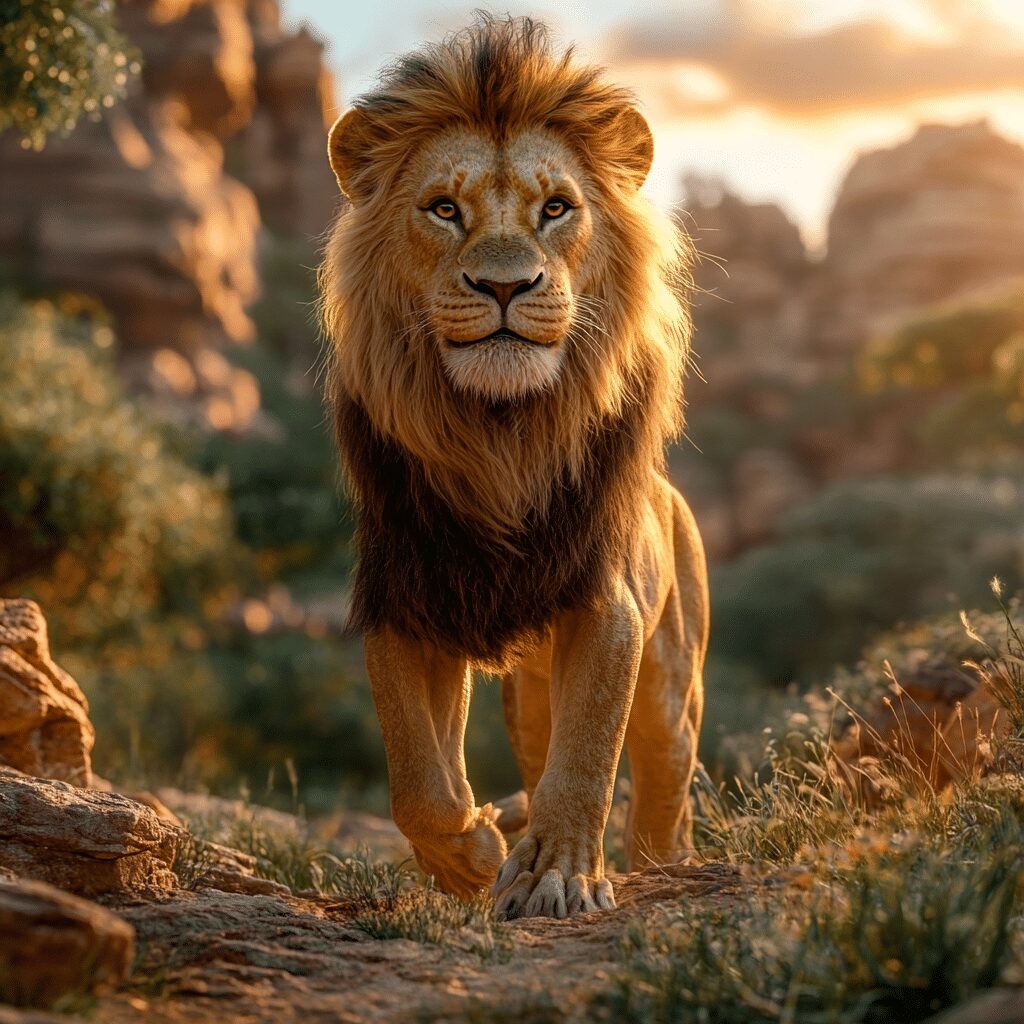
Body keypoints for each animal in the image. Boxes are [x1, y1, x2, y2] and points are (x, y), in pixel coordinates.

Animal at [319, 15, 709, 919]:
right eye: (444, 208)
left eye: (556, 207)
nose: (506, 285)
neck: (502, 435)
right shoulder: (408, 594)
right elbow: (417, 780)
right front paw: (474, 857)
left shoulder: (608, 603)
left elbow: (589, 758)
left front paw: (559, 873)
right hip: (527, 695)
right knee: (537, 749)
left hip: (674, 675)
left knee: (665, 774)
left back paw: (662, 860)